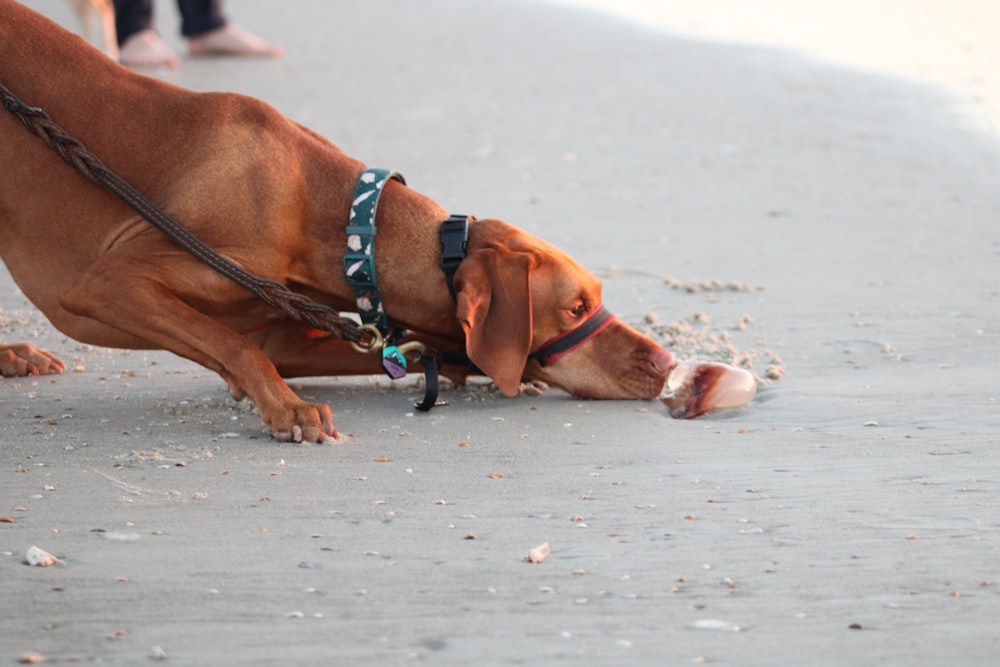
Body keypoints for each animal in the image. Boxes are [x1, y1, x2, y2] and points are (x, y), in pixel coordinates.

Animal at [1, 3, 672, 444]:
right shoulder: (107, 283)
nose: (667, 365)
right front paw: (287, 408)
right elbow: (238, 345)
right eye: (575, 308)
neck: (346, 227)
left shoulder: (285, 330)